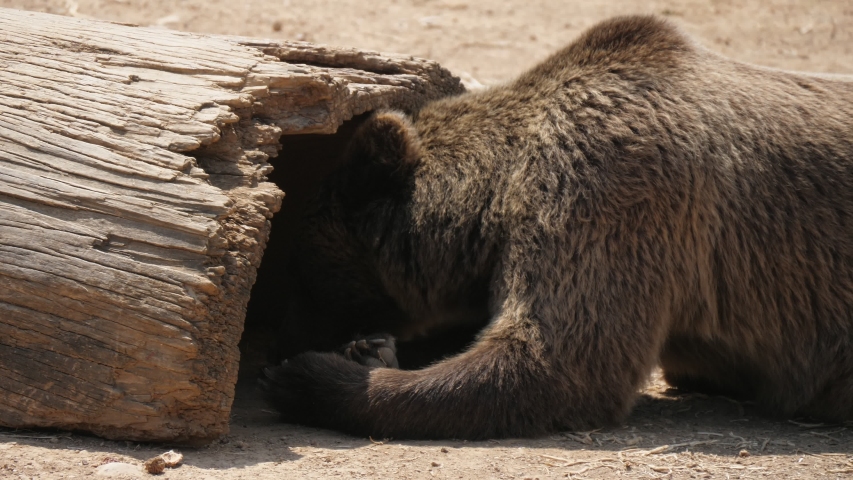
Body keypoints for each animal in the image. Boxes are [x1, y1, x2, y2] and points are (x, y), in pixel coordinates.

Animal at [260, 15, 853, 439]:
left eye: (298, 266)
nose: (278, 340)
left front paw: (312, 376)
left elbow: (554, 362)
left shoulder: (610, 187)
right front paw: (369, 349)